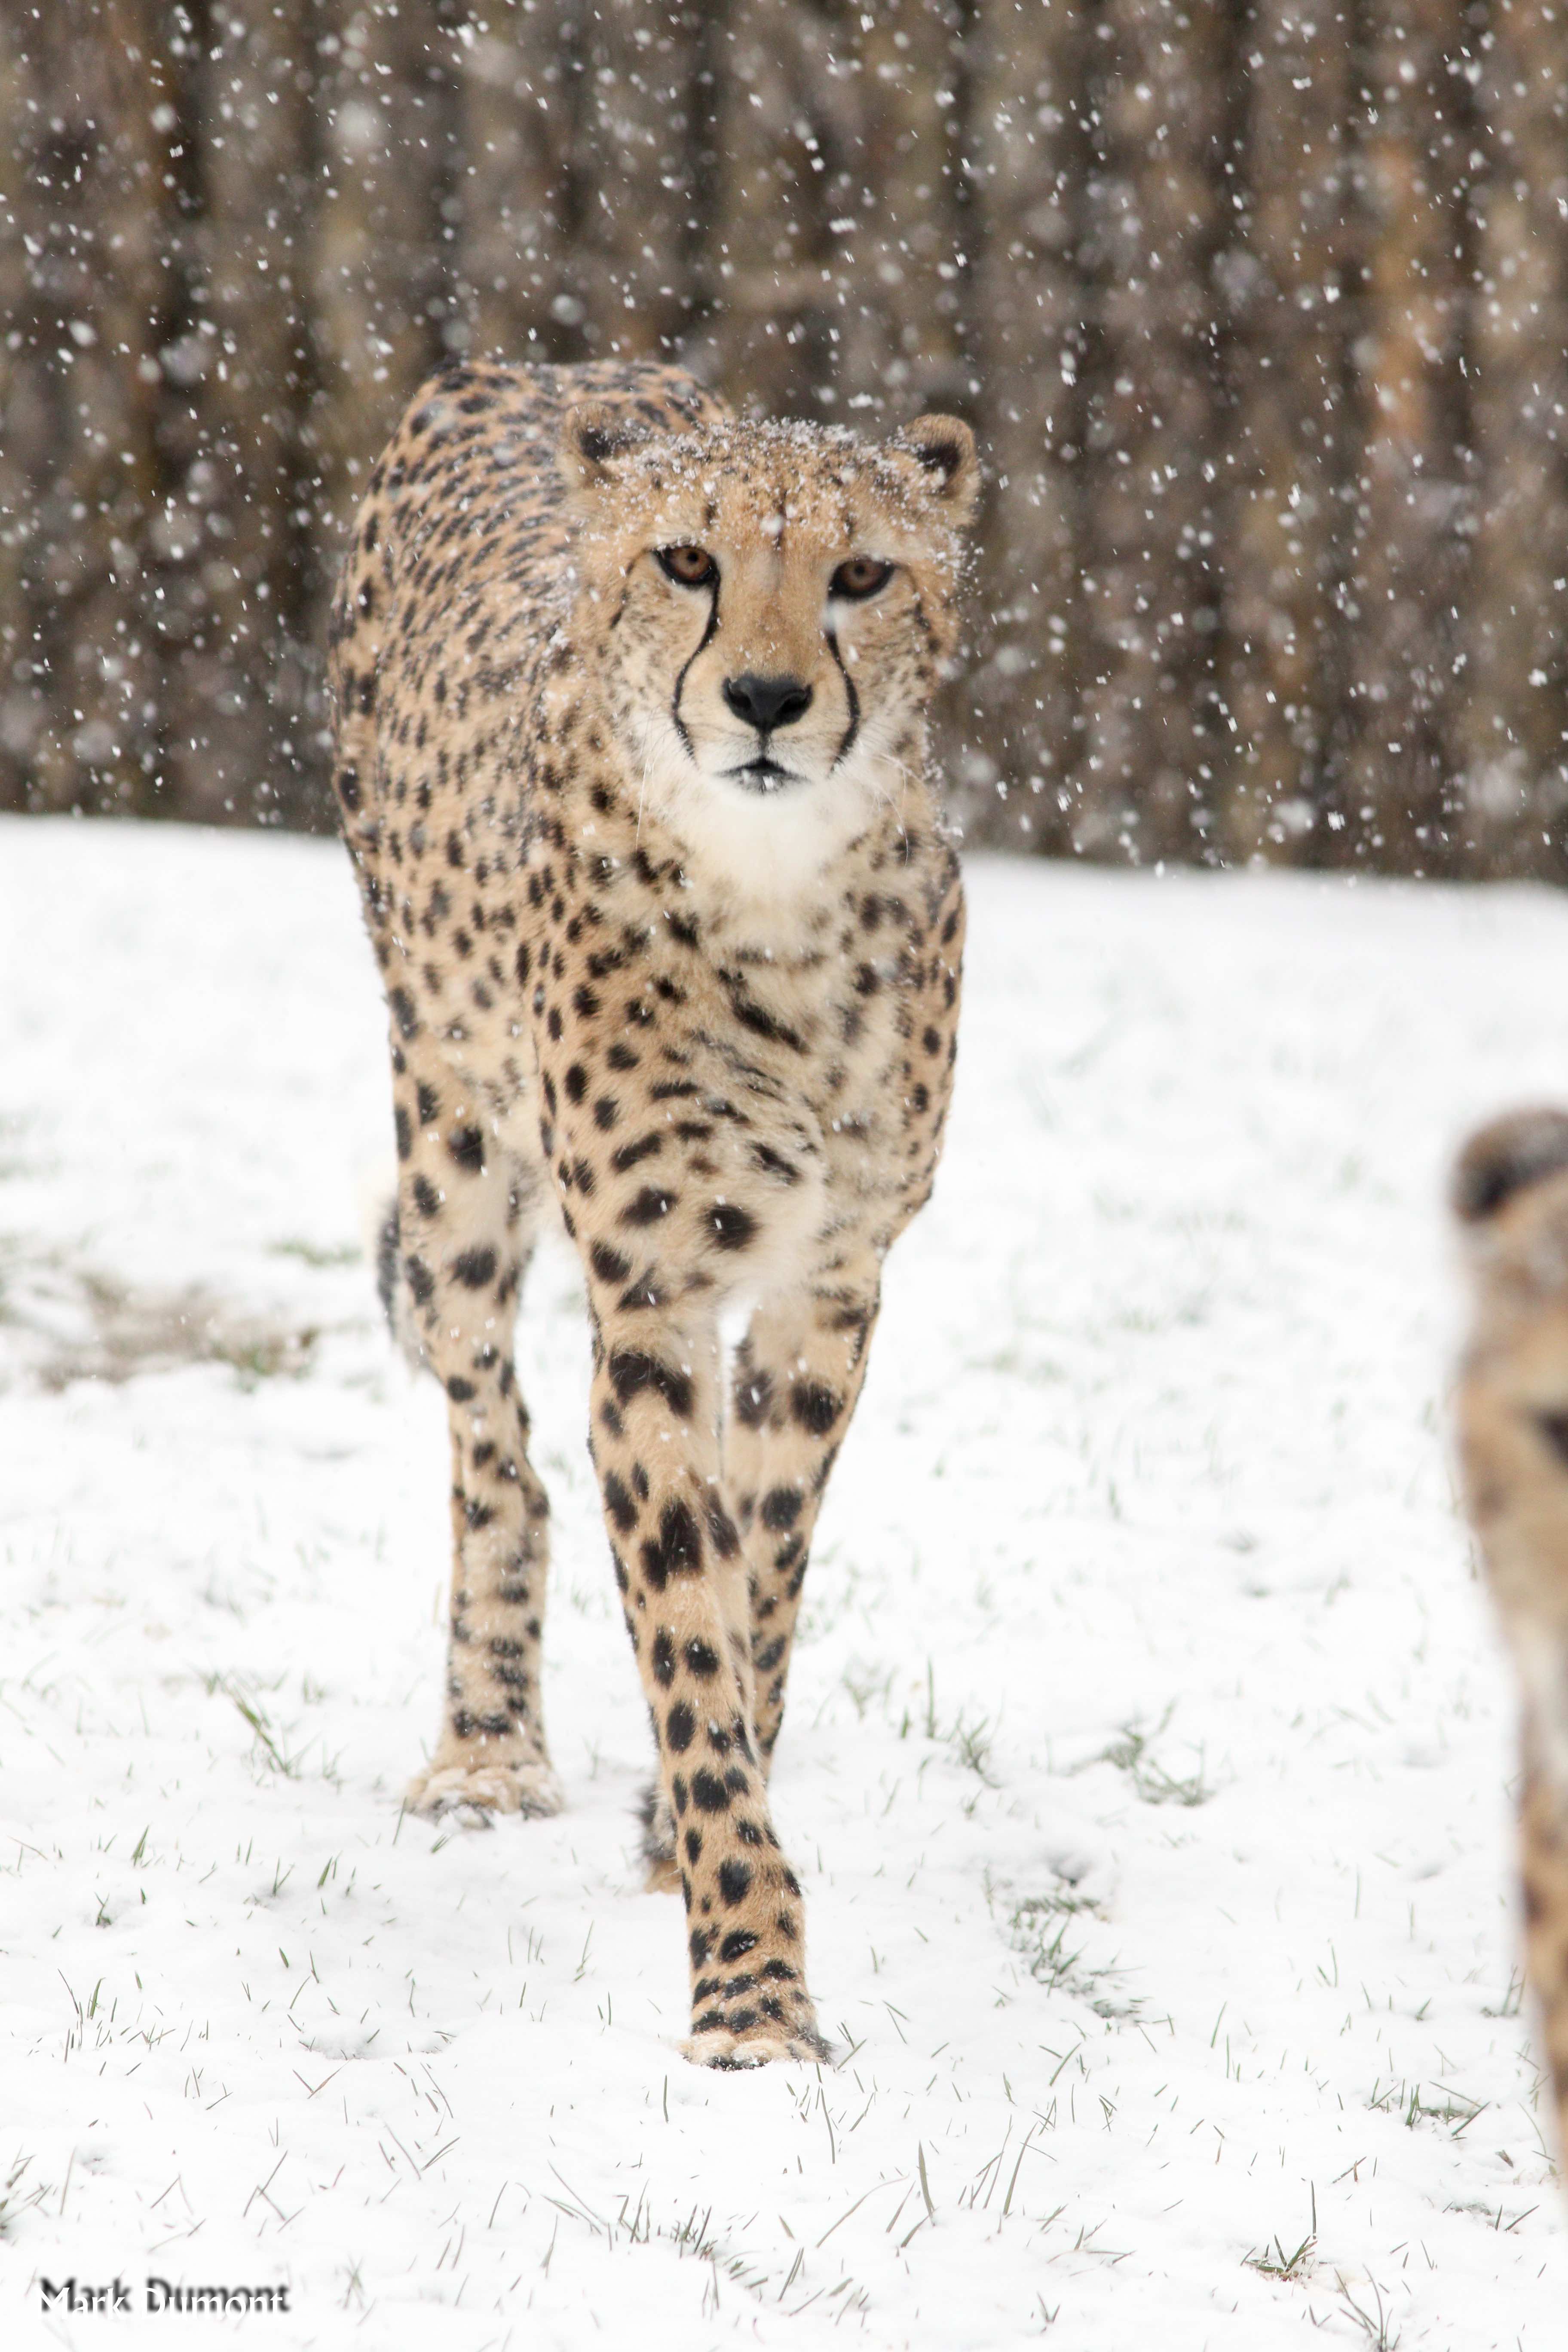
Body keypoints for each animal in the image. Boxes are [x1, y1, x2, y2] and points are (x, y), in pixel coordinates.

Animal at [327, 357, 973, 2070]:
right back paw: (488, 1750)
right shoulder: (653, 1307)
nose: (763, 702)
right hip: (453, 1147)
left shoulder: (827, 1292)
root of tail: (541, 369)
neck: (778, 892)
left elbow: (759, 1580)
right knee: (495, 1451)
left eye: (860, 574)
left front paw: (689, 1839)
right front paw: (749, 1991)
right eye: (687, 562)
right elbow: (683, 1626)